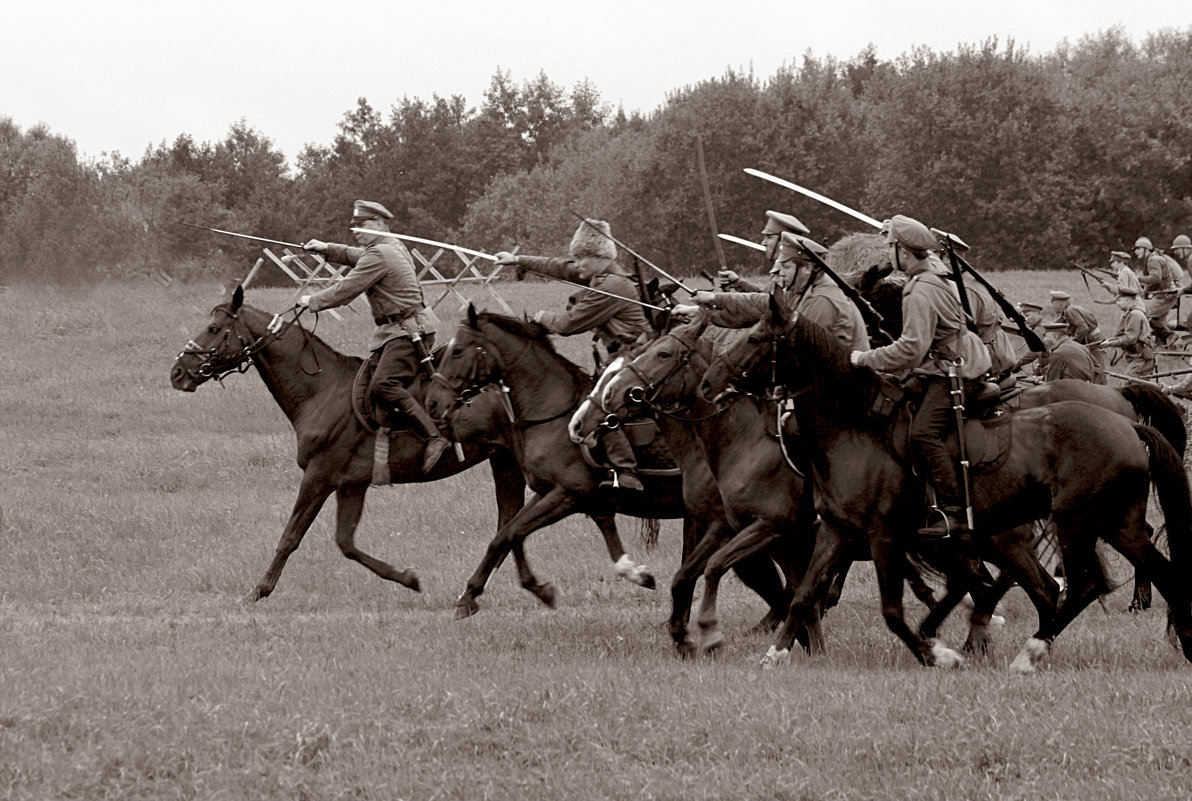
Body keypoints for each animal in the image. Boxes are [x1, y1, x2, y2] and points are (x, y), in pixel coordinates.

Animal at [696, 296, 1192, 672]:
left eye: (756, 338)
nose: (707, 383)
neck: (854, 428)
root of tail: (1127, 424)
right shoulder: (838, 531)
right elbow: (802, 595)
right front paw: (775, 654)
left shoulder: (884, 536)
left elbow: (892, 611)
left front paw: (936, 654)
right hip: (1112, 526)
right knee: (1147, 573)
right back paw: (1181, 640)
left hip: (1076, 524)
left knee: (1081, 586)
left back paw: (1029, 653)